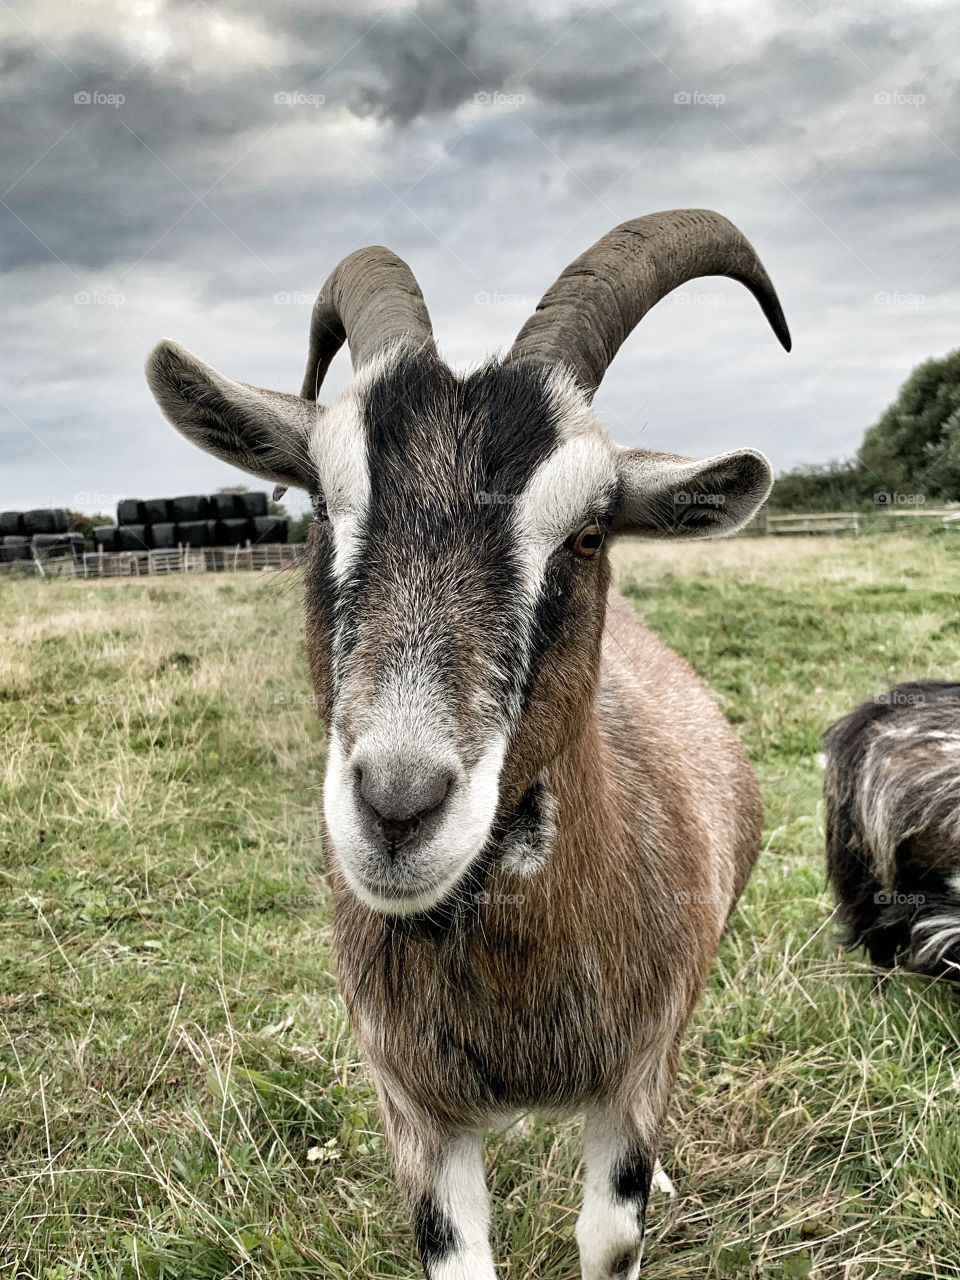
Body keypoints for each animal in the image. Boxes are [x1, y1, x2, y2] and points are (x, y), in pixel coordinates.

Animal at [145, 208, 791, 1279]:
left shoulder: (634, 1071)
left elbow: (611, 1231)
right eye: (320, 505)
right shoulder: (415, 1106)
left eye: (588, 533)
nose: (398, 806)